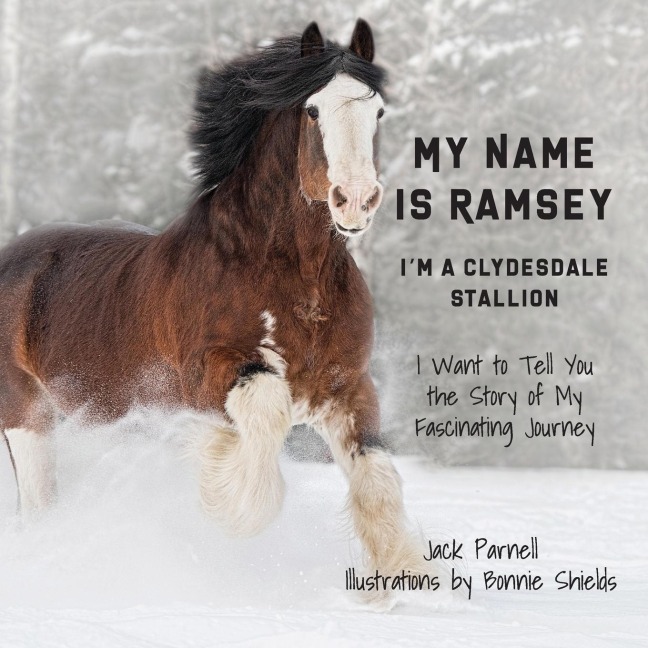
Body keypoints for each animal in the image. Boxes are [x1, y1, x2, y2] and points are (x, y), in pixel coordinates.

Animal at [0, 19, 426, 582]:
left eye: (377, 111)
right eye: (313, 110)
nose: (355, 199)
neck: (295, 282)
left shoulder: (347, 388)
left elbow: (376, 479)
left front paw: (402, 580)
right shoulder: (209, 373)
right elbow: (263, 412)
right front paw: (227, 494)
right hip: (27, 419)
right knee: (38, 506)